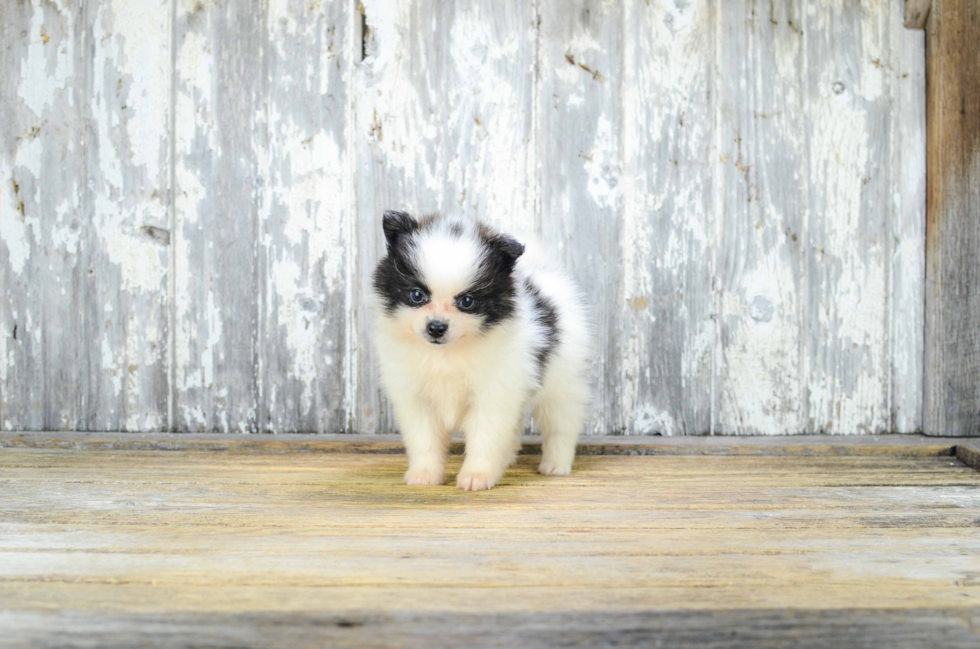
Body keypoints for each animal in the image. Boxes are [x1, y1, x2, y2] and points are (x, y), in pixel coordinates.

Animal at [372, 213, 588, 492]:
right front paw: (425, 475)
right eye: (416, 295)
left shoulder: (493, 395)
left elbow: (485, 439)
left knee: (561, 424)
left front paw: (477, 476)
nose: (436, 327)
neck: (446, 354)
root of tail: (541, 273)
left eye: (467, 301)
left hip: (562, 380)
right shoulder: (416, 398)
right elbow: (424, 441)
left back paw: (555, 464)